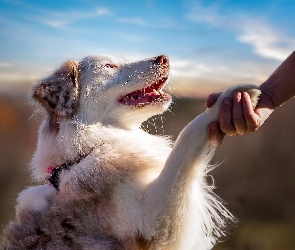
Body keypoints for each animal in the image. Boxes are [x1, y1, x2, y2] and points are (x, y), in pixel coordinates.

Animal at [1, 54, 262, 250]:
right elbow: (188, 137)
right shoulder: (154, 222)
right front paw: (233, 97)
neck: (87, 151)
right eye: (109, 66)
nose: (164, 58)